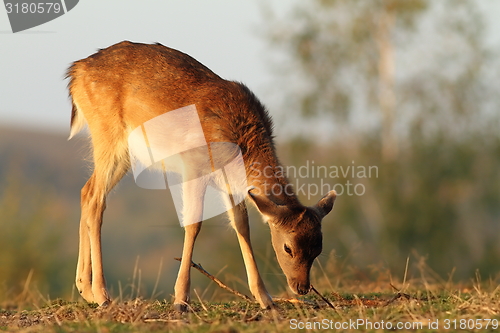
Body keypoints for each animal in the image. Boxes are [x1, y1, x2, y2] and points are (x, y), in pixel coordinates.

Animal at [66, 41, 338, 312]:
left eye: (318, 248)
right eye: (287, 248)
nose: (301, 287)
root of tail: (76, 72)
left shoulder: (230, 182)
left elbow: (242, 224)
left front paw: (265, 299)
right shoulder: (194, 166)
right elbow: (194, 223)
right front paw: (180, 299)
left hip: (122, 152)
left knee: (86, 191)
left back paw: (85, 289)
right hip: (108, 134)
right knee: (96, 199)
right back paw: (102, 294)